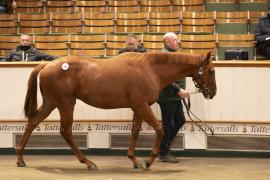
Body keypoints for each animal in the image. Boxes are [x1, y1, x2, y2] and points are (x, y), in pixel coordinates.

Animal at [16, 51, 215, 170]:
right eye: (212, 71)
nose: (212, 93)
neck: (150, 69)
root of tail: (47, 65)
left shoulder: (139, 108)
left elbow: (135, 131)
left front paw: (134, 160)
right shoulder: (142, 106)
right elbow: (160, 130)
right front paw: (148, 161)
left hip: (51, 103)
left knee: (33, 122)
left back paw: (20, 158)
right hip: (66, 104)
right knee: (65, 131)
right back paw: (87, 162)